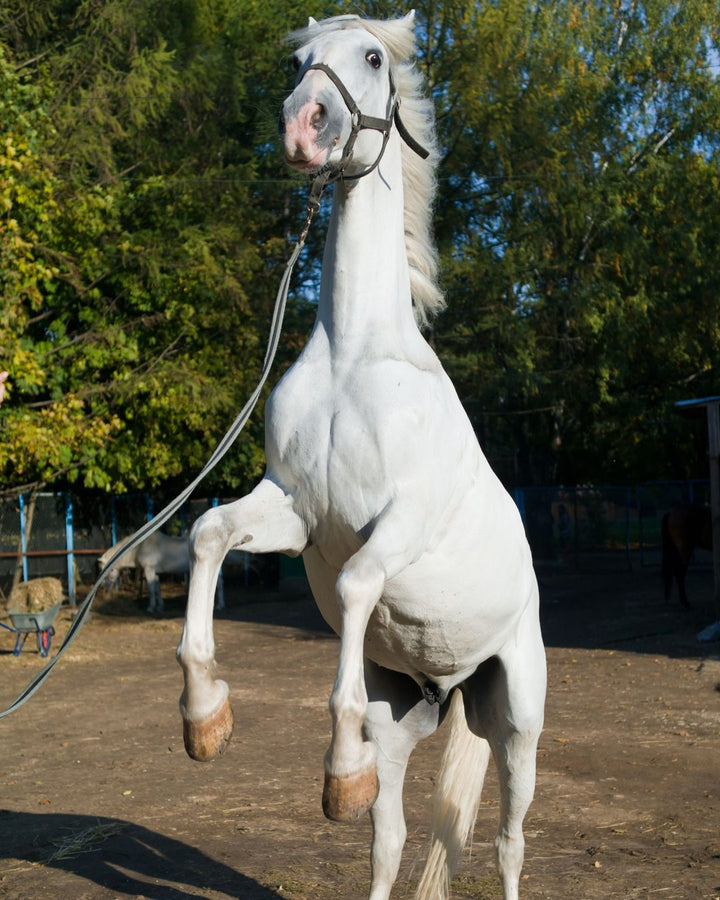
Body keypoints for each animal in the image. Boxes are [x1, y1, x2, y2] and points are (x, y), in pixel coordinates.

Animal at [176, 14, 546, 900]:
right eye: (298, 61)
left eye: (372, 56)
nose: (302, 126)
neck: (353, 358)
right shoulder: (293, 510)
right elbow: (208, 533)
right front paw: (206, 719)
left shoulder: (399, 526)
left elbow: (353, 585)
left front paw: (334, 762)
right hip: (402, 720)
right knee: (391, 837)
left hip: (518, 722)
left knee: (510, 842)